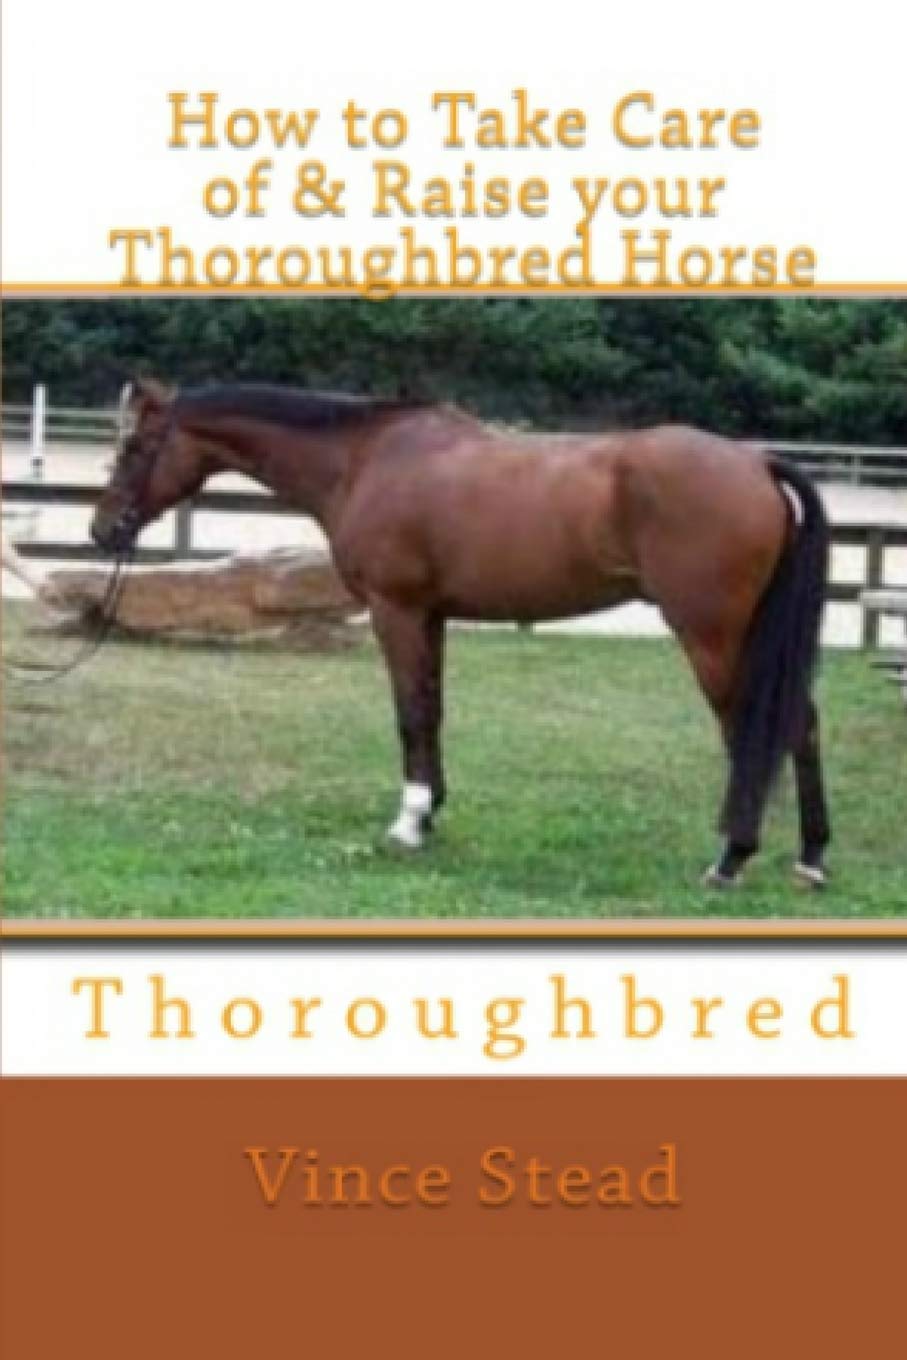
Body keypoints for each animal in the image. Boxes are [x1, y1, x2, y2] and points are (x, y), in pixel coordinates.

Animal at [91, 379, 831, 889]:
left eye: (135, 447)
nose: (102, 530)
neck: (364, 458)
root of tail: (756, 463)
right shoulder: (432, 615)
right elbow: (433, 710)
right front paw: (432, 813)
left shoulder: (395, 610)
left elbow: (409, 714)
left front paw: (408, 823)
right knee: (799, 725)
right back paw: (810, 858)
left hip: (712, 636)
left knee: (753, 730)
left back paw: (731, 859)